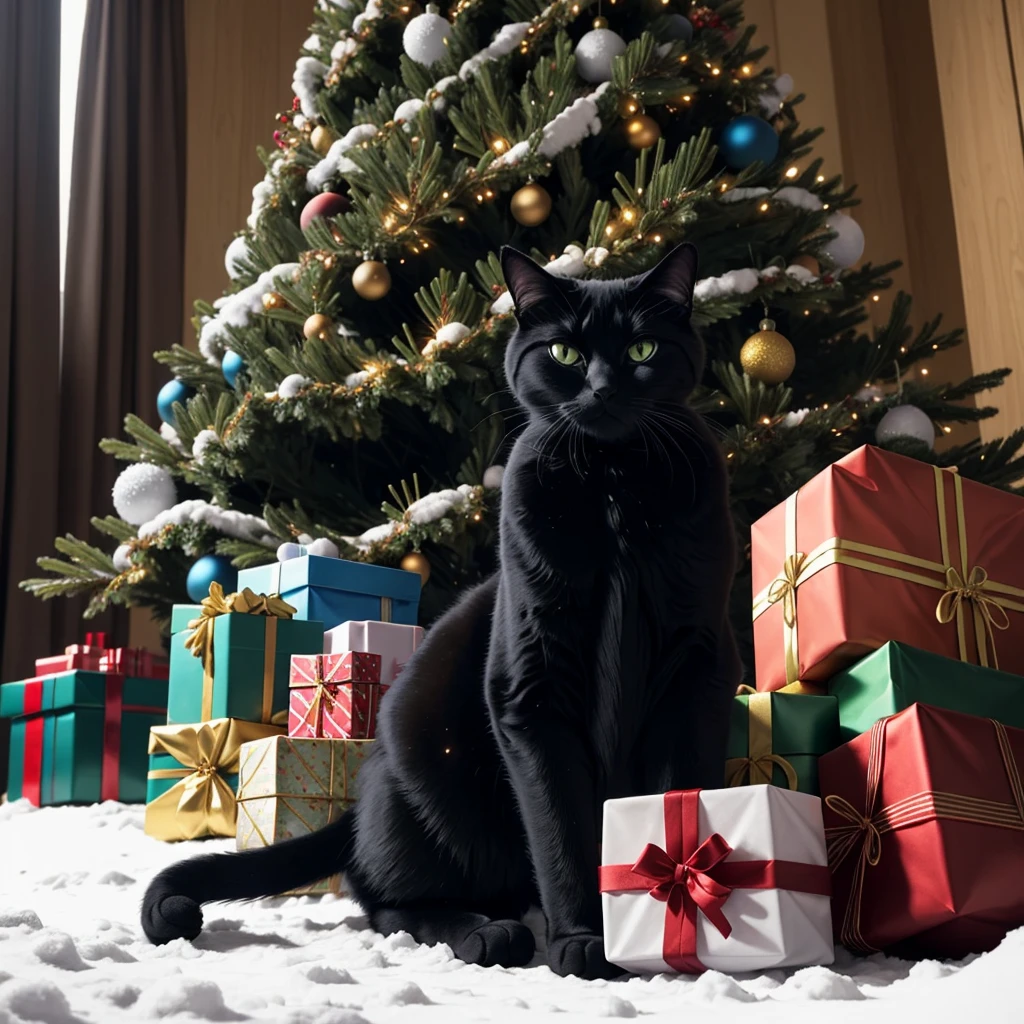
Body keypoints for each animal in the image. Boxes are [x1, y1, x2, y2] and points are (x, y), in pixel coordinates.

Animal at [140, 241, 741, 983]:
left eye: (642, 348)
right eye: (565, 353)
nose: (602, 387)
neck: (613, 485)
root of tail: (361, 797)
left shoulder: (695, 672)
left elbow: (669, 804)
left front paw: (672, 928)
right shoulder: (530, 688)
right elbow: (564, 831)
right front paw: (584, 943)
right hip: (430, 796)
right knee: (383, 899)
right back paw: (491, 935)